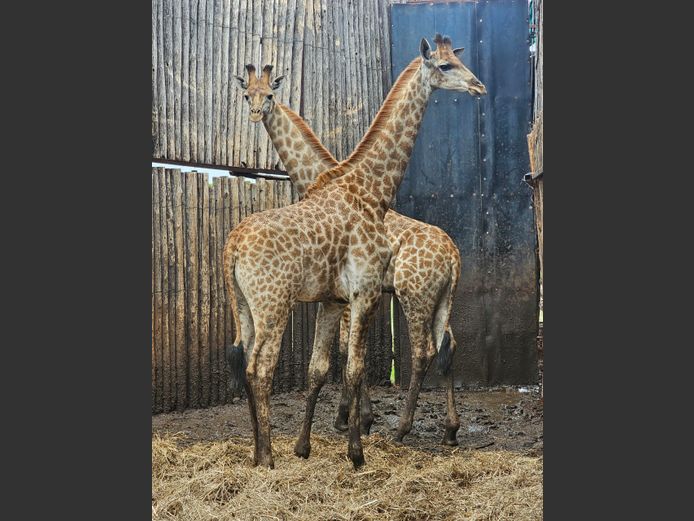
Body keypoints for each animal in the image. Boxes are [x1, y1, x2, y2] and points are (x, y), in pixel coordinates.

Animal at [224, 34, 485, 469]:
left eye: (268, 94)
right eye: (445, 66)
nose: (478, 86)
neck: (370, 190)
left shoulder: (339, 298)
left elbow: (325, 367)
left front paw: (316, 441)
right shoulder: (360, 294)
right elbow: (350, 365)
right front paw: (355, 447)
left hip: (252, 304)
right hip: (276, 304)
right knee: (259, 368)